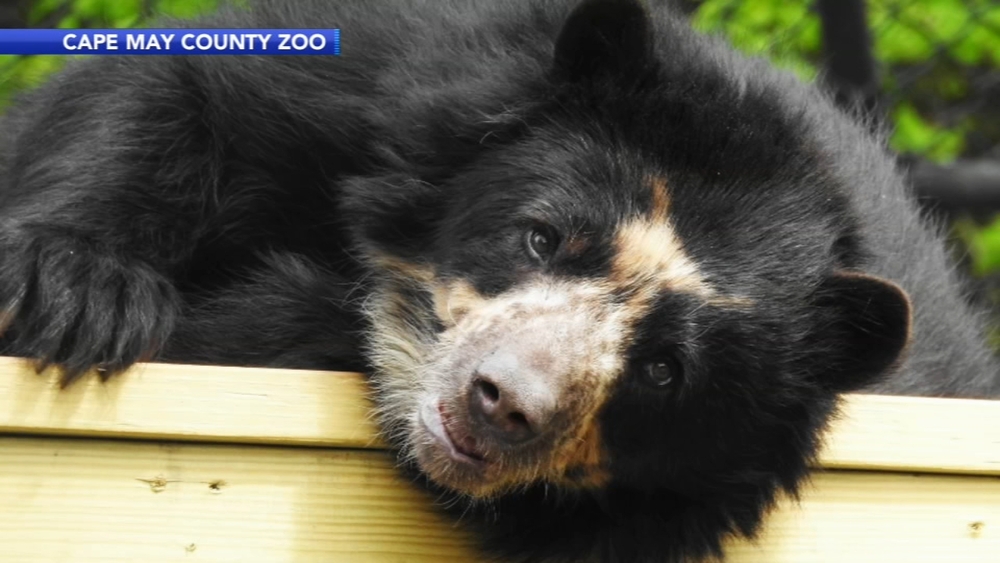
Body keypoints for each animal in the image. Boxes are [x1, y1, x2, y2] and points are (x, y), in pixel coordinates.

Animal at [0, 0, 997, 561]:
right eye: (542, 237)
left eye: (664, 370)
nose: (505, 405)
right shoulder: (384, 78)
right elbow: (183, 88)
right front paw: (77, 290)